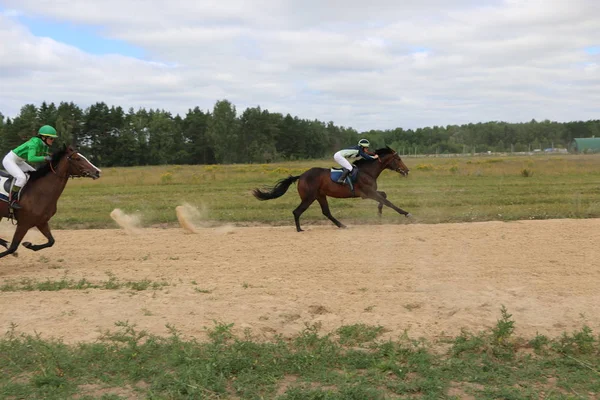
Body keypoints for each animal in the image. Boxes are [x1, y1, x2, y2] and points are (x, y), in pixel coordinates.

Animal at [253, 146, 412, 231]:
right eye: (398, 159)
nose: (407, 170)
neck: (367, 171)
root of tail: (302, 176)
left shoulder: (369, 193)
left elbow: (384, 196)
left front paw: (379, 213)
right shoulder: (368, 193)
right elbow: (388, 202)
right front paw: (406, 213)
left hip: (320, 196)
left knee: (326, 212)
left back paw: (342, 225)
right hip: (309, 197)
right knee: (297, 211)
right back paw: (299, 229)